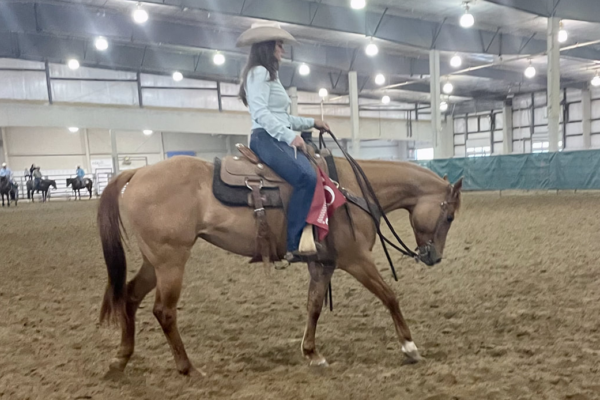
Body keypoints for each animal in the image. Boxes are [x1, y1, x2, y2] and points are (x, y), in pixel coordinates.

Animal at [98, 152, 464, 376]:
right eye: (449, 216)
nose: (433, 257)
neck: (350, 191)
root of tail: (138, 172)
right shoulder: (356, 260)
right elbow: (390, 296)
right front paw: (409, 346)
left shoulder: (323, 264)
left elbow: (314, 306)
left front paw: (312, 353)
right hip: (171, 261)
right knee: (164, 311)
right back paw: (188, 368)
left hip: (154, 262)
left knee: (130, 296)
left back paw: (120, 358)